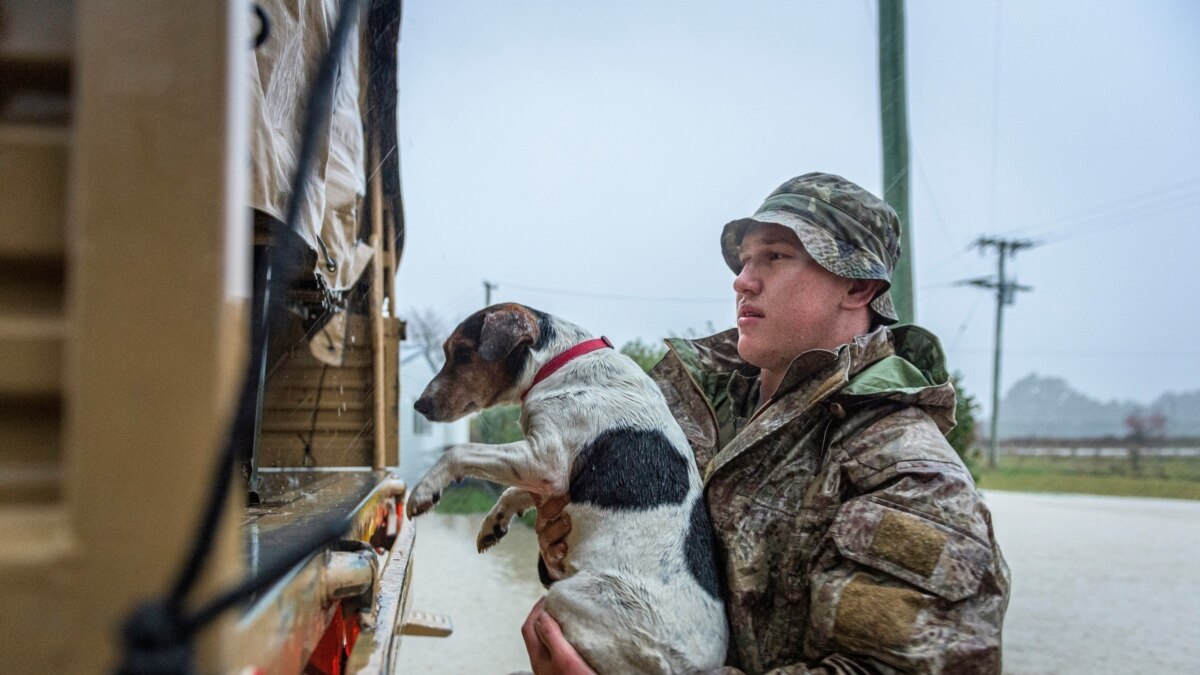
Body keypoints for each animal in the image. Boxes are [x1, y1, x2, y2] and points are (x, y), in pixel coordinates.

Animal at [410, 302, 729, 667]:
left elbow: (459, 452)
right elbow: (514, 491)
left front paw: (424, 491)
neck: (559, 362)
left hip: (571, 599)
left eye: (463, 353)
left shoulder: (547, 461)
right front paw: (494, 523)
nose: (419, 405)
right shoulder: (546, 475)